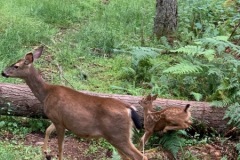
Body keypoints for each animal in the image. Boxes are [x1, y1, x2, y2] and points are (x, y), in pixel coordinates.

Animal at [1, 46, 147, 160]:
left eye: (16, 66)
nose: (3, 72)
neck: (46, 94)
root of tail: (129, 109)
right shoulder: (58, 119)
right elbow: (47, 130)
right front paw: (46, 152)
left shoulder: (58, 120)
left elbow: (60, 147)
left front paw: (51, 154)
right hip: (118, 136)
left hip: (118, 135)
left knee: (141, 156)